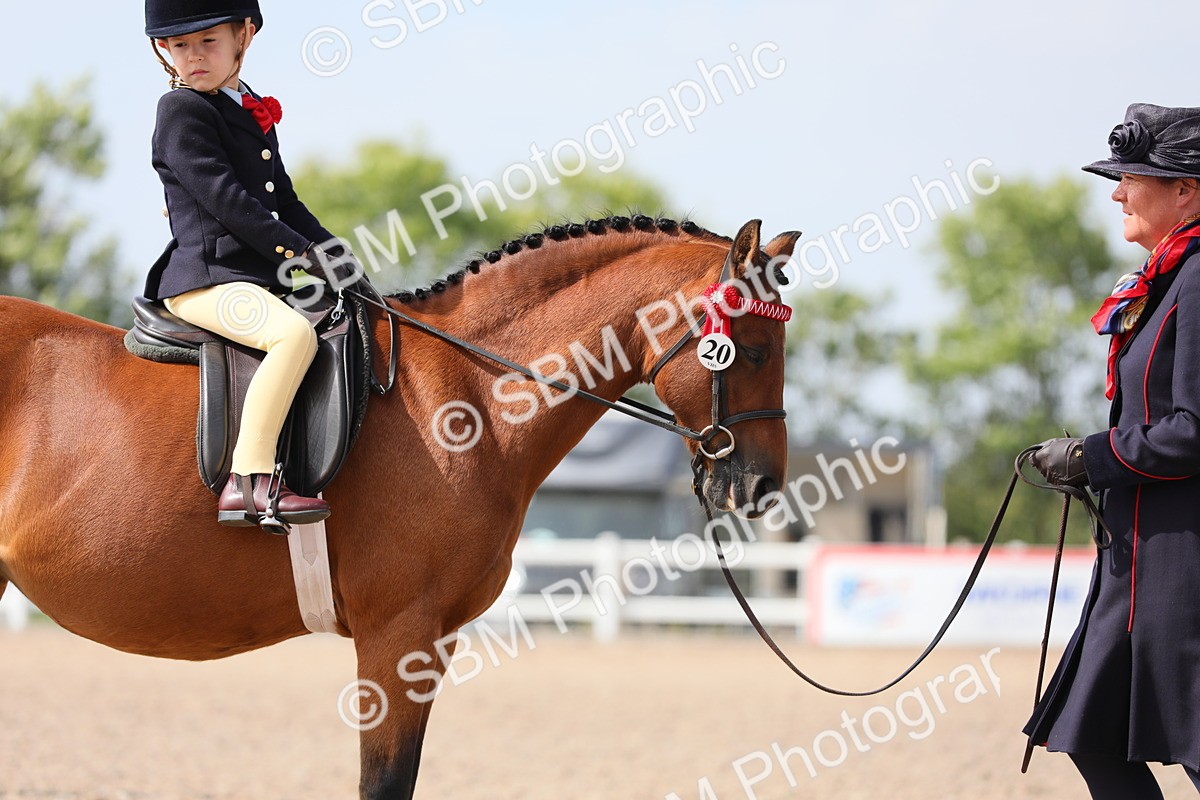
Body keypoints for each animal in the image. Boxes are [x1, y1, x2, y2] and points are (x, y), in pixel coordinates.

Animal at [0, 214, 799, 798]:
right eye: (754, 350)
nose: (761, 487)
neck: (469, 397)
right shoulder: (399, 635)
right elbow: (385, 783)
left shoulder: (431, 638)